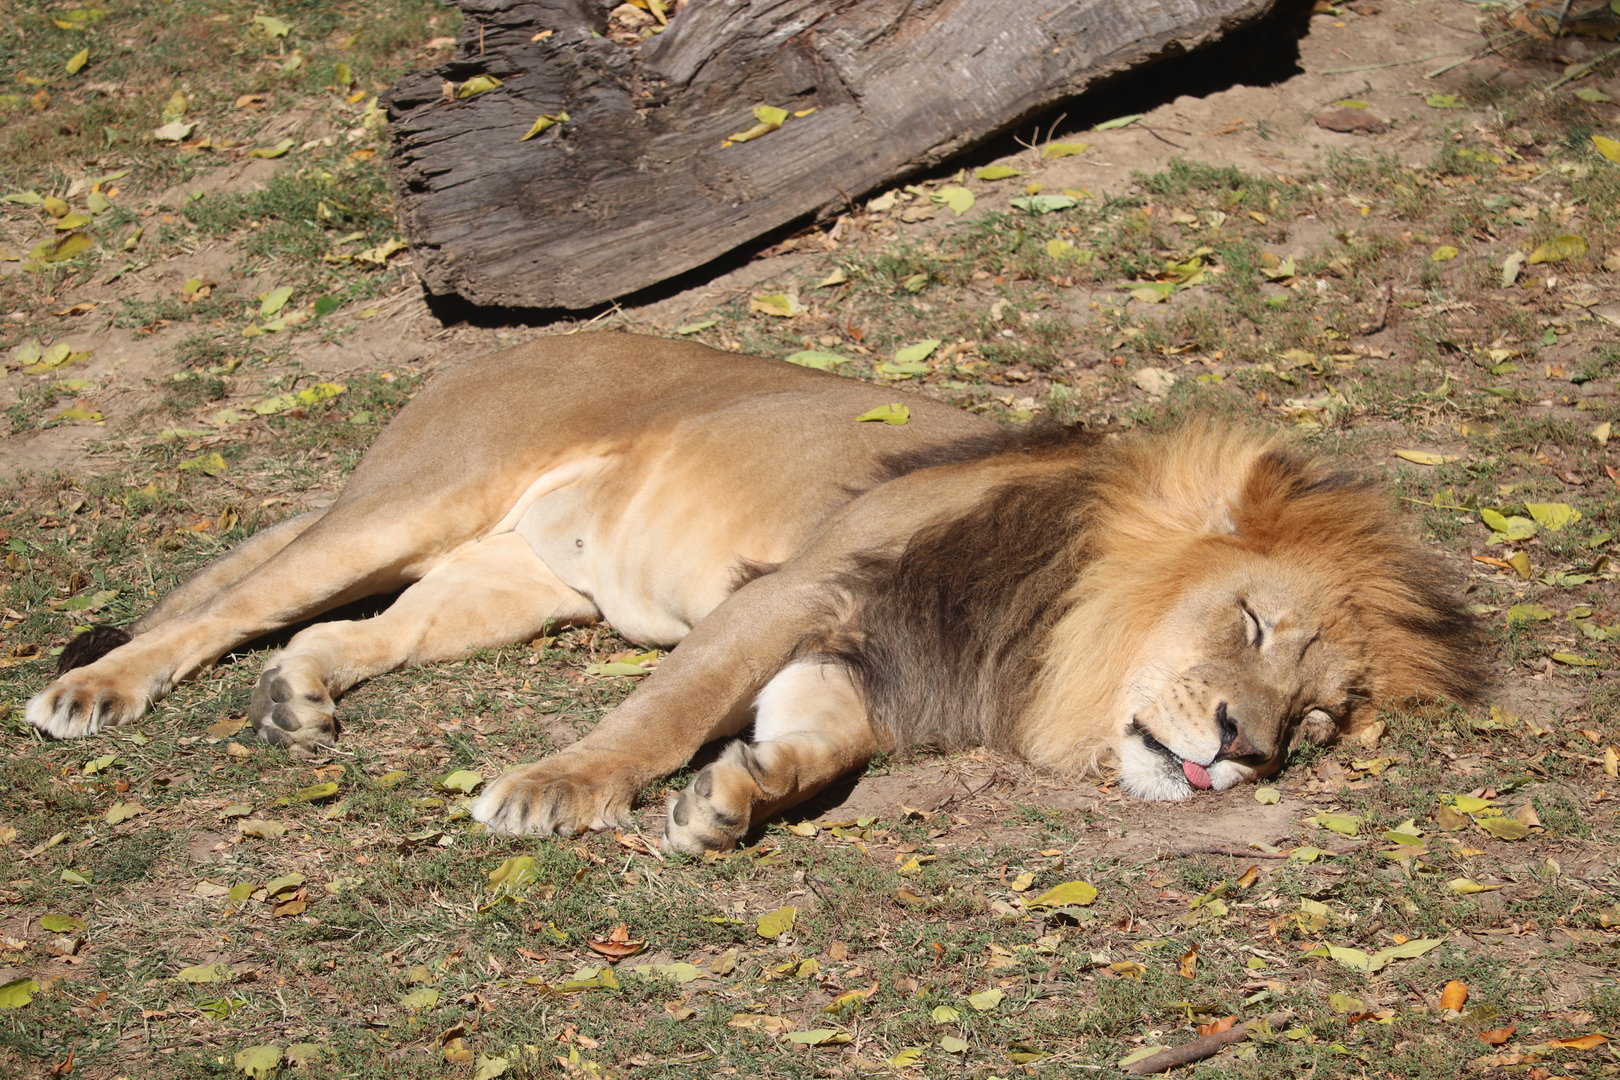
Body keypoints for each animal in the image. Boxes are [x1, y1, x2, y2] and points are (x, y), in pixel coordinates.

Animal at [27, 333, 1482, 853]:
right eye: (1251, 623)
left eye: (1314, 721)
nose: (1244, 749)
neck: (1048, 634)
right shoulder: (811, 582)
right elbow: (668, 710)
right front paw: (556, 792)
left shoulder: (854, 665)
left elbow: (815, 748)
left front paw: (733, 802)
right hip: (415, 496)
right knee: (229, 606)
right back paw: (90, 692)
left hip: (518, 583)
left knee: (343, 630)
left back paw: (299, 700)